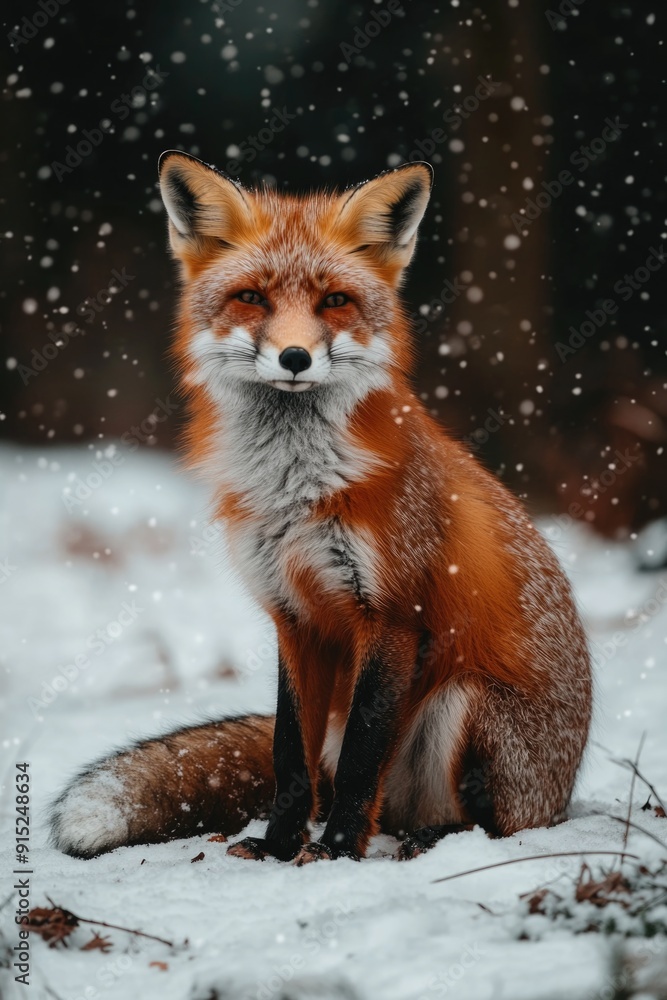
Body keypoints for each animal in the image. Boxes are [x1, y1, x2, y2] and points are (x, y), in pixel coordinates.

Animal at [51, 152, 592, 864]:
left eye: (334, 300)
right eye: (252, 297)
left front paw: (335, 853)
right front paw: (280, 847)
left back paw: (431, 842)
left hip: (466, 704)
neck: (295, 492)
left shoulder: (392, 616)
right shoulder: (294, 615)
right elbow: (289, 752)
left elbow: (363, 756)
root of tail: (564, 796)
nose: (294, 357)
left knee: (482, 822)